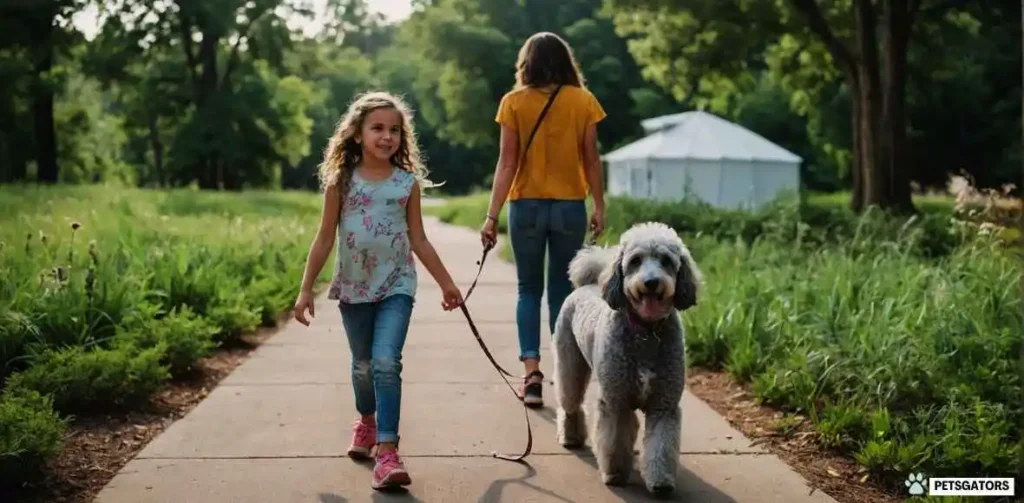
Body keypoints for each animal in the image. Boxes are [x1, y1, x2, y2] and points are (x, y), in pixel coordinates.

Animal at [552, 221, 704, 495]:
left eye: (666, 260)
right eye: (635, 261)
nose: (652, 282)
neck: (646, 332)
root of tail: (587, 286)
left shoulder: (664, 406)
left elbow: (660, 446)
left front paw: (660, 482)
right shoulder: (616, 402)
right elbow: (614, 440)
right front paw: (614, 473)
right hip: (570, 365)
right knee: (570, 403)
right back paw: (570, 437)